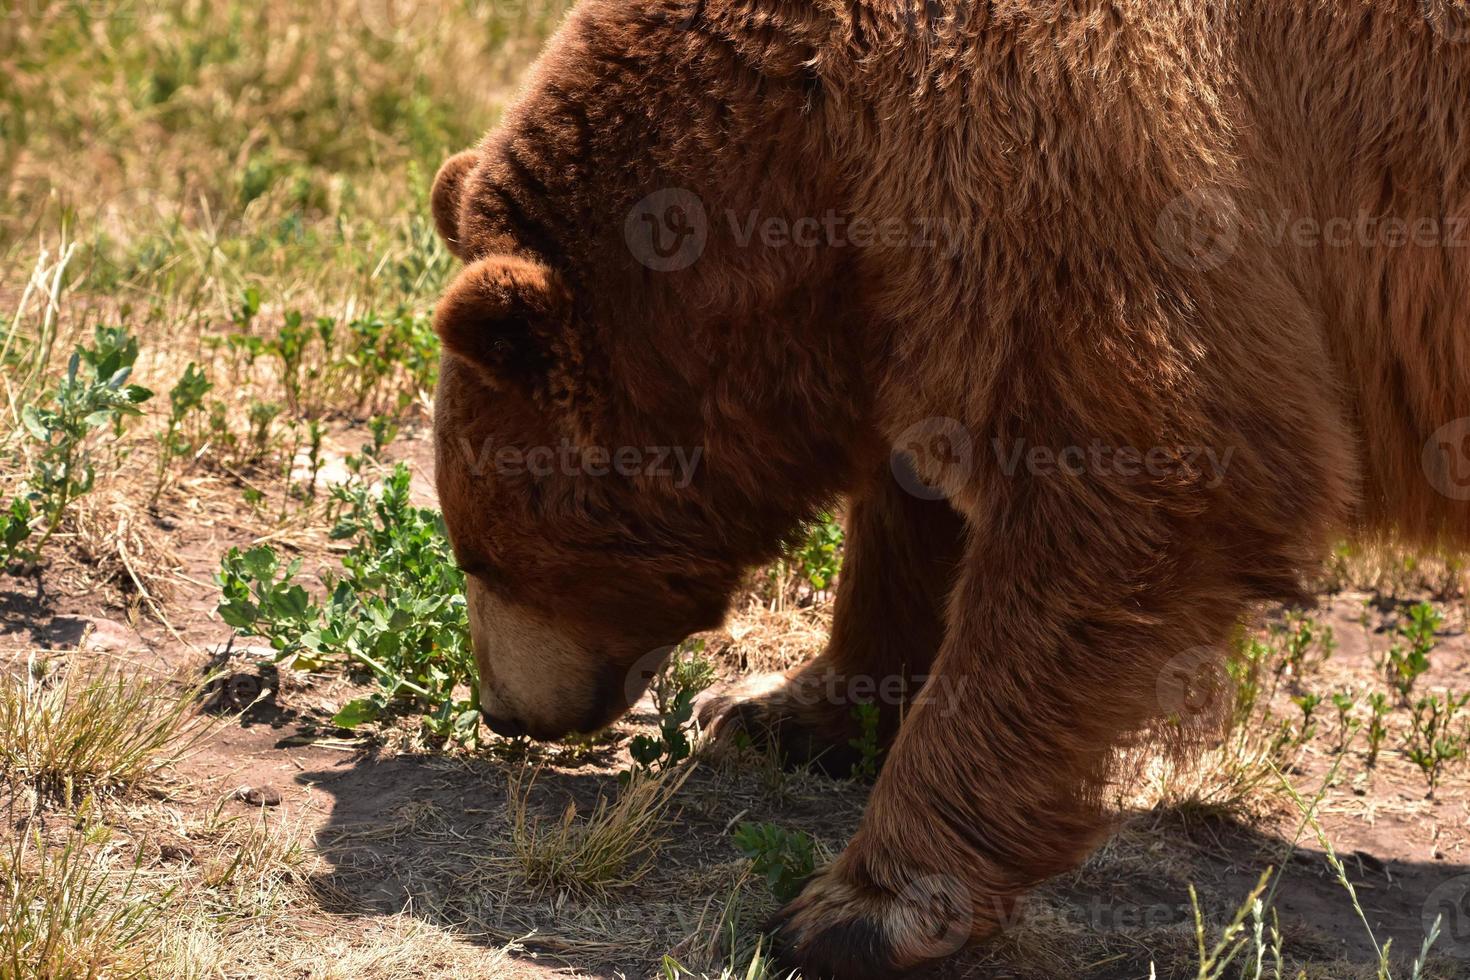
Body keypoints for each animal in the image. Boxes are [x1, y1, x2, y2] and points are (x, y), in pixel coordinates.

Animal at [426, 3, 1470, 975]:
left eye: (480, 557)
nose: (501, 709)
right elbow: (913, 512)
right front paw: (773, 706)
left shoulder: (1090, 153)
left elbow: (1135, 484)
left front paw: (856, 909)